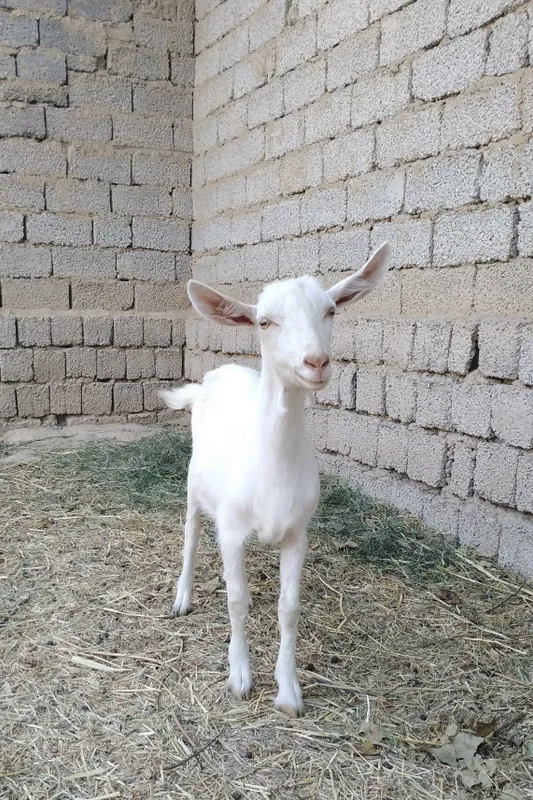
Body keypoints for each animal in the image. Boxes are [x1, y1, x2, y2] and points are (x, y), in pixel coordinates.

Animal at [161, 242, 391, 717]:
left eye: (330, 311)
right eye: (264, 321)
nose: (316, 362)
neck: (272, 465)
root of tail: (215, 374)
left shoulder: (298, 533)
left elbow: (289, 608)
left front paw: (288, 691)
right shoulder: (230, 528)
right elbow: (234, 601)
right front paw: (240, 677)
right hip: (194, 485)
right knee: (190, 535)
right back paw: (182, 597)